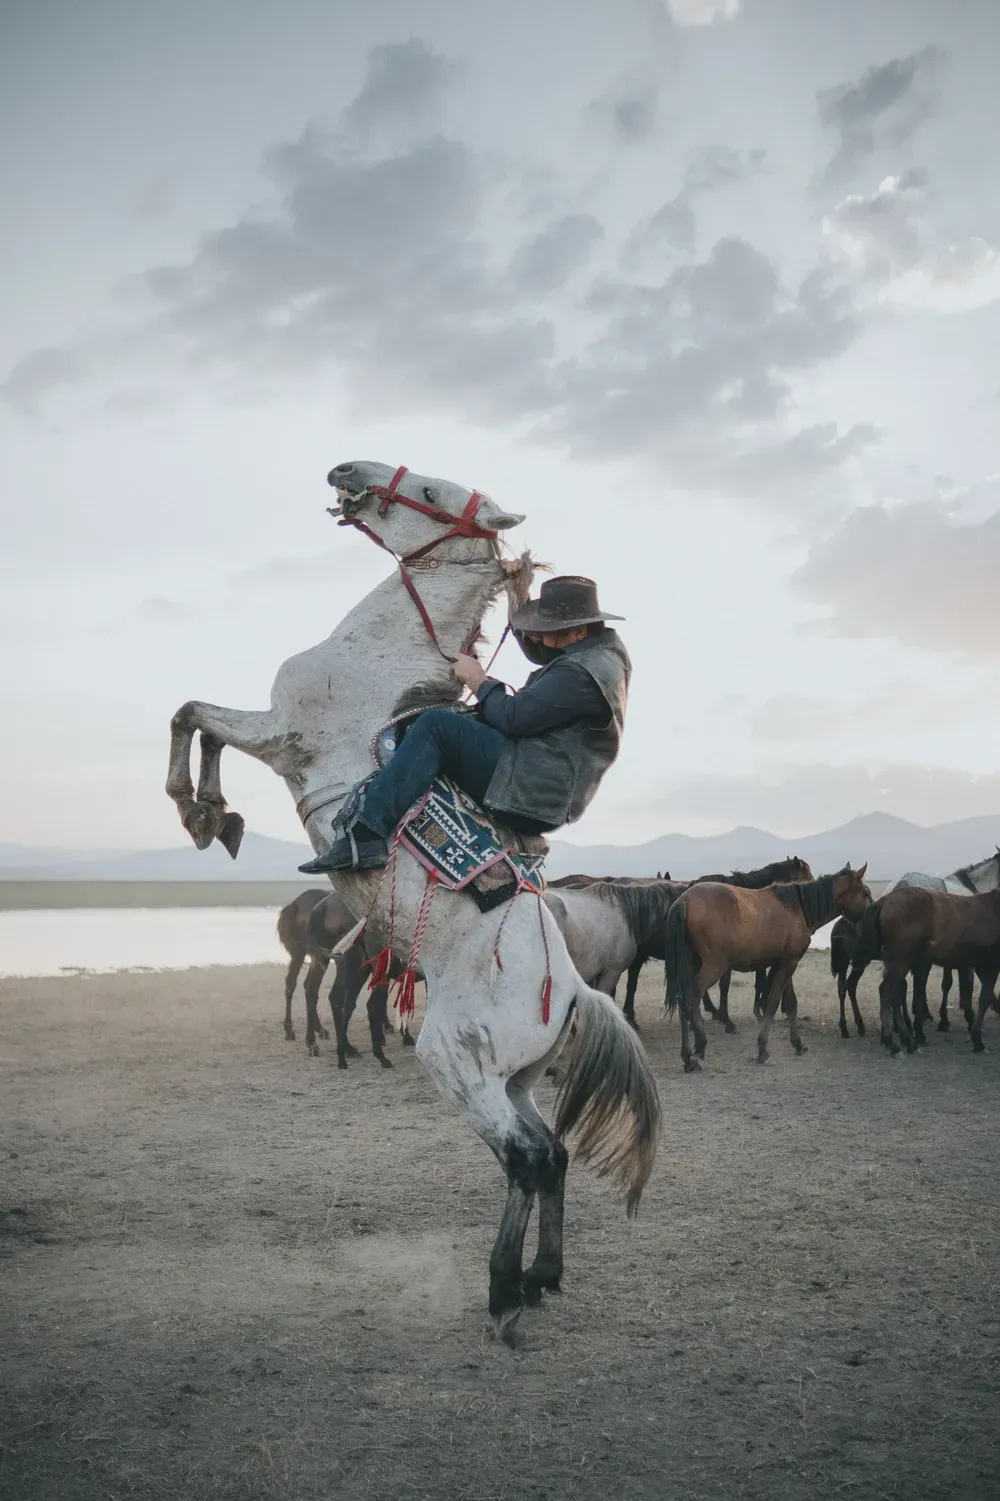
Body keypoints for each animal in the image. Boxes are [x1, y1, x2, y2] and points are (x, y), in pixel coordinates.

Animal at [165, 459, 654, 1338]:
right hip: (512, 1077)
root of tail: (571, 990)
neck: (375, 660)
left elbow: (192, 713)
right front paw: (217, 818)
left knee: (528, 1157)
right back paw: (542, 1276)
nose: (347, 471)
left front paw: (199, 809)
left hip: (458, 1064)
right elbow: (201, 722)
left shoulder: (278, 729)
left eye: (431, 488)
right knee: (552, 1153)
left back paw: (505, 1291)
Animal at [660, 870, 864, 1068]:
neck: (796, 907)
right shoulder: (789, 964)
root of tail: (684, 901)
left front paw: (797, 1043)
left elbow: (791, 1003)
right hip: (713, 966)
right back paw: (700, 1045)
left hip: (691, 964)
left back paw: (687, 1054)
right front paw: (763, 1049)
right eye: (866, 893)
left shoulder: (785, 963)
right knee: (691, 996)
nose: (867, 916)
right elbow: (773, 1002)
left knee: (683, 1001)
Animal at [852, 888, 996, 1056]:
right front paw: (977, 1040)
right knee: (887, 992)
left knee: (894, 994)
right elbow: (984, 998)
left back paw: (906, 1040)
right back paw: (894, 1043)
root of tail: (885, 899)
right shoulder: (990, 965)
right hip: (901, 958)